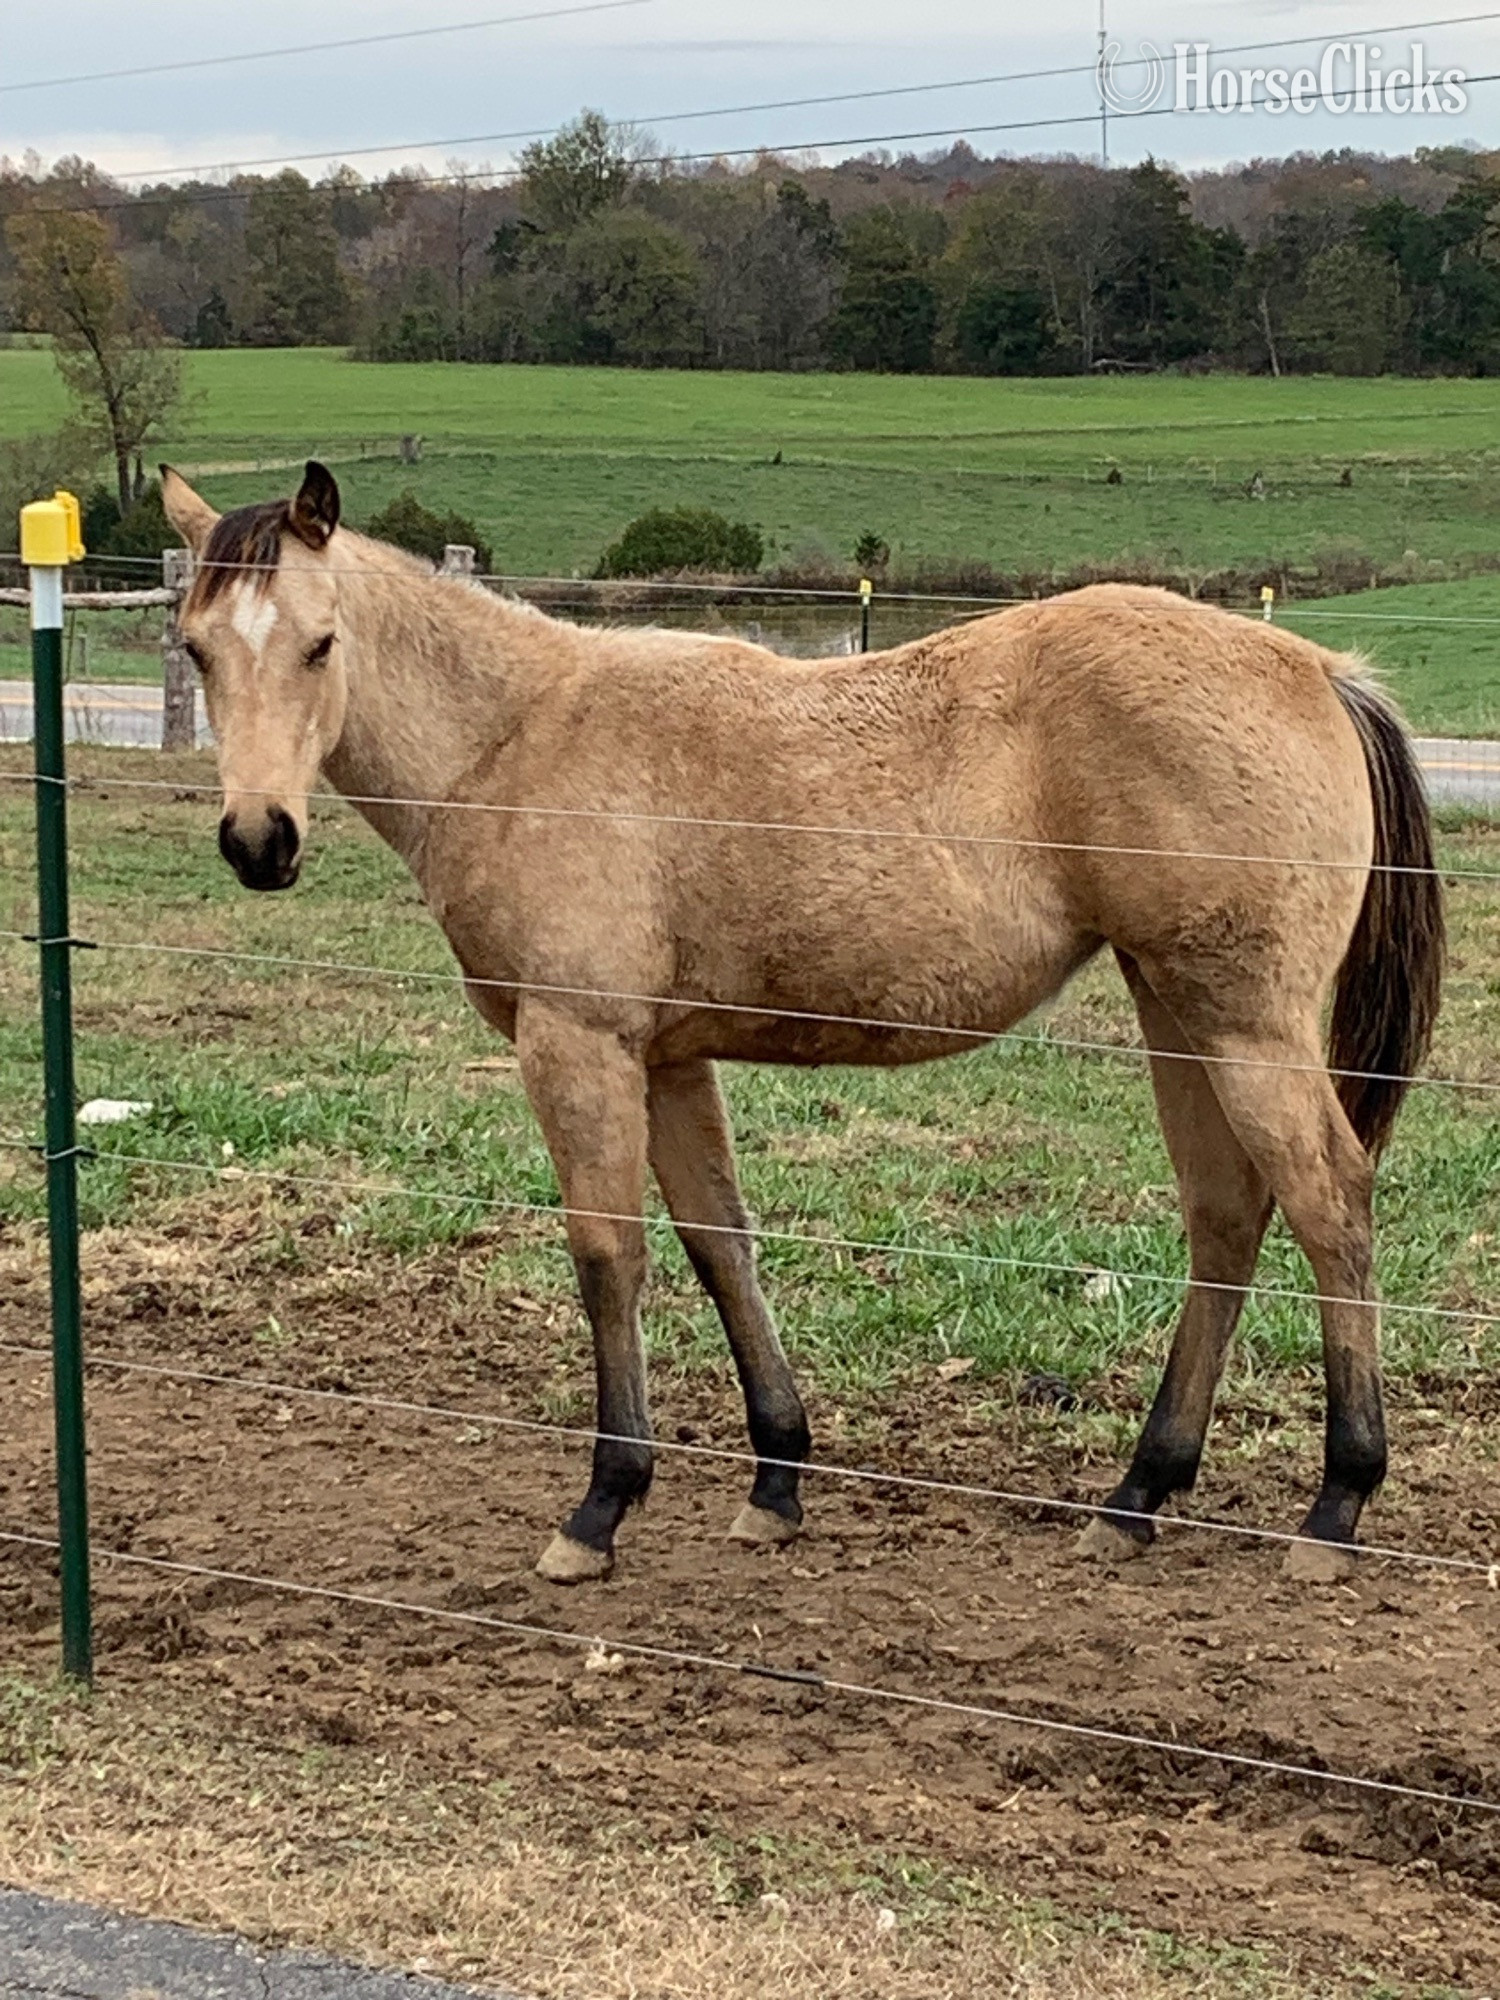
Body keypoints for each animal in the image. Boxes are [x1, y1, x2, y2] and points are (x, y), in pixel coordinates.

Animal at [161, 462, 1444, 1587]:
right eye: (195, 647)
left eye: (321, 643)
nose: (259, 840)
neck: (517, 738)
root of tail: (1316, 668)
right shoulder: (670, 1058)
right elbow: (719, 1245)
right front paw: (776, 1475)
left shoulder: (579, 1043)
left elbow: (608, 1256)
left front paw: (603, 1503)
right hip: (1177, 1008)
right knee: (1227, 1218)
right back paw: (1140, 1491)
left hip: (1246, 1025)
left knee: (1330, 1205)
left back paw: (1337, 1501)